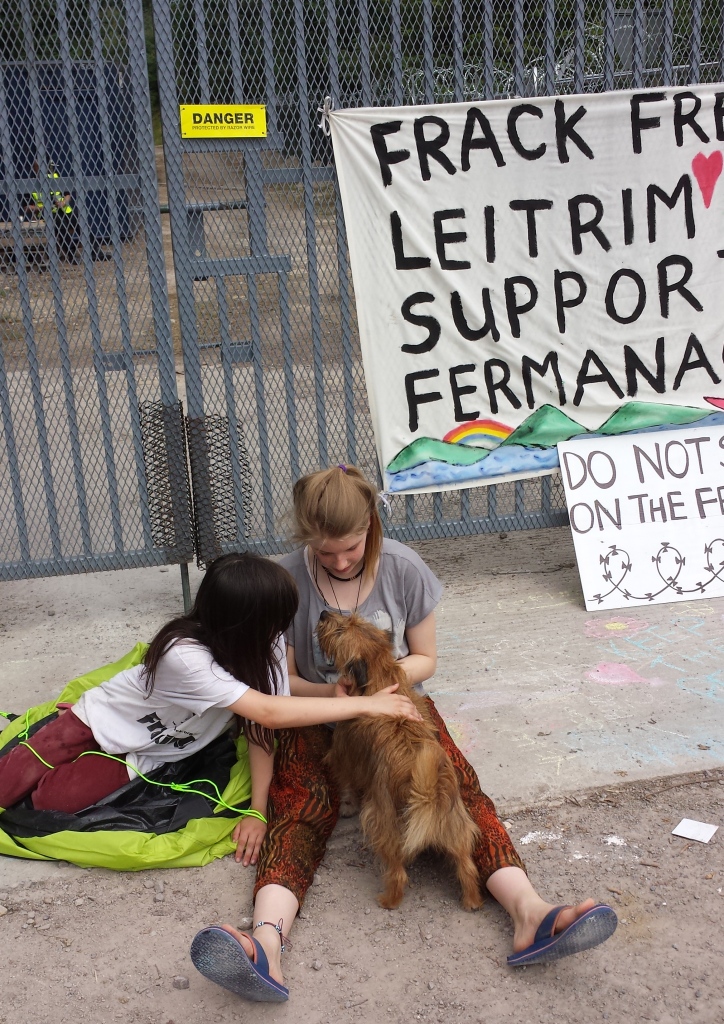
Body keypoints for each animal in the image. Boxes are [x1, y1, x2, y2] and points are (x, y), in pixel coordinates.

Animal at [317, 610, 481, 909]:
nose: (324, 613)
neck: (380, 673)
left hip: (384, 824)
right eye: (349, 617)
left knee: (397, 872)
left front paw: (347, 806)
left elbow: (347, 783)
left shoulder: (344, 754)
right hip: (457, 829)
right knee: (466, 867)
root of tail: (427, 794)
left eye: (341, 630)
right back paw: (472, 900)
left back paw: (388, 900)